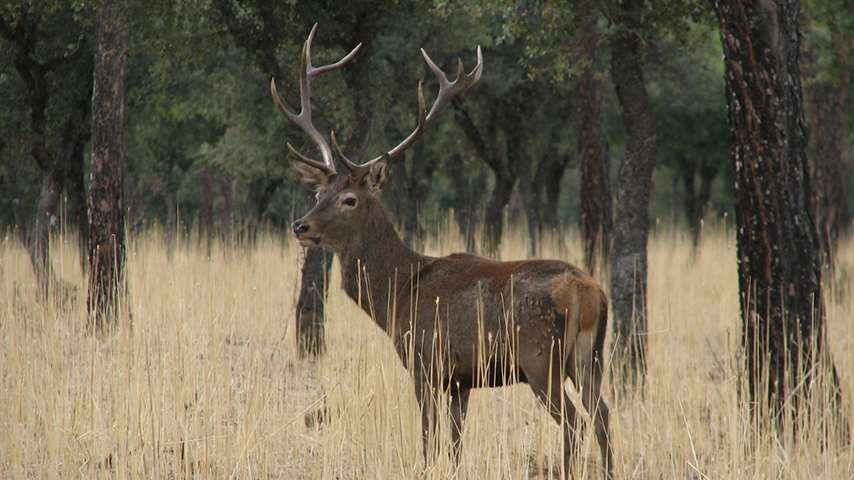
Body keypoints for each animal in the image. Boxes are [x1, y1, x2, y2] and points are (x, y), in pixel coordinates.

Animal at [274, 24, 616, 478]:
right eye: (318, 193)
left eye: (349, 199)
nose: (301, 226)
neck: (398, 294)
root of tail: (584, 290)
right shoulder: (461, 380)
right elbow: (454, 445)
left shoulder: (424, 361)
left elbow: (428, 439)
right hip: (590, 356)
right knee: (604, 414)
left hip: (541, 356)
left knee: (575, 423)